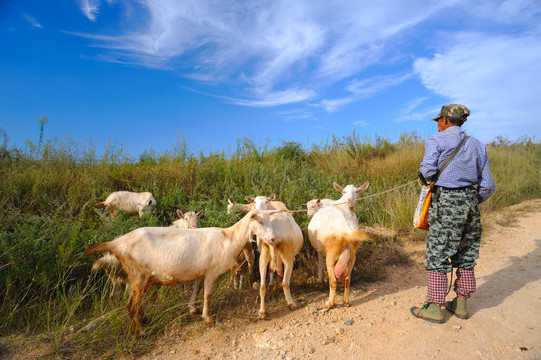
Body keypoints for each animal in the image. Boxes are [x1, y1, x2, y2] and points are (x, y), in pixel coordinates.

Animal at [87, 210, 278, 336]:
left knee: (135, 303)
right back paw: (140, 332)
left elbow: (197, 290)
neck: (228, 237)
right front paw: (208, 319)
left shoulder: (201, 272)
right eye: (260, 222)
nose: (273, 239)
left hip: (139, 279)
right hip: (137, 275)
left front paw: (193, 308)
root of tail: (117, 243)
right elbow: (207, 295)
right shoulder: (211, 272)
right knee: (131, 305)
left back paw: (144, 320)